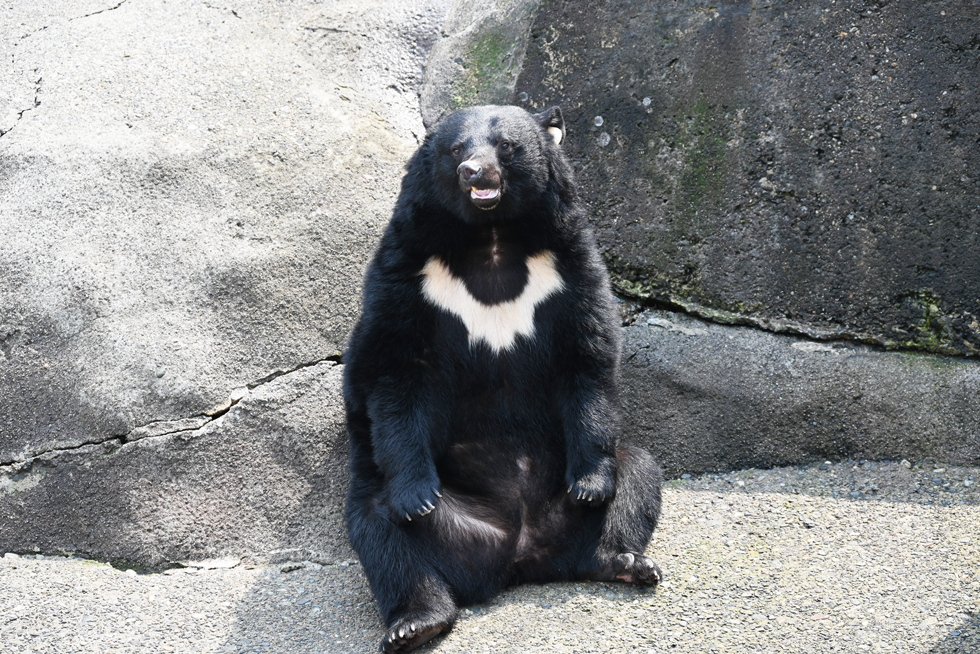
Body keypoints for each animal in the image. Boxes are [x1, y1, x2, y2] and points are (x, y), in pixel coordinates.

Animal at [343, 104, 663, 653]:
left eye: (506, 146)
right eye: (456, 149)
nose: (475, 172)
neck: (489, 235)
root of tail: (518, 556)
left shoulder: (566, 266)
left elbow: (586, 355)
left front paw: (590, 488)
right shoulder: (410, 273)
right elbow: (398, 372)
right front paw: (416, 497)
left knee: (637, 472)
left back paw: (624, 561)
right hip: (435, 527)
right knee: (382, 532)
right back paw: (416, 621)